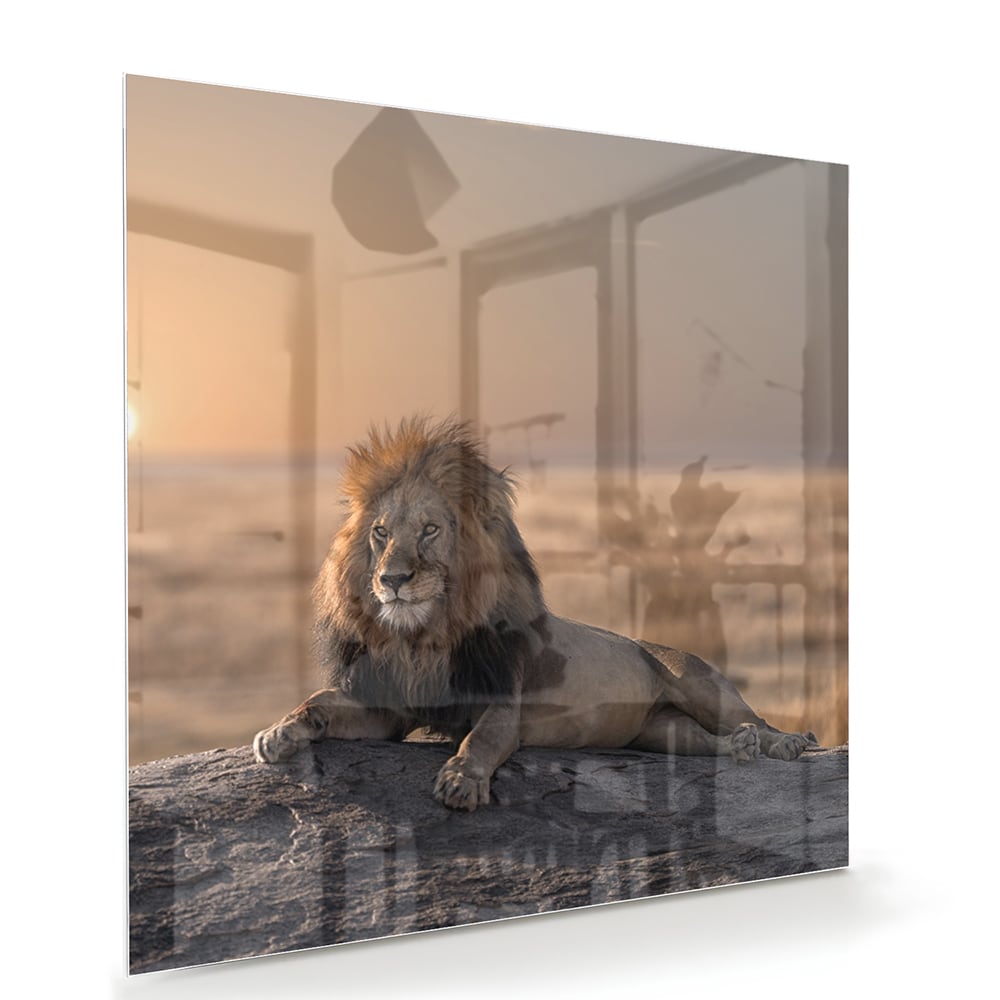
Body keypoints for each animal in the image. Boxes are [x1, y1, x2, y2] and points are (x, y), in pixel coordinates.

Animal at [253, 416, 816, 810]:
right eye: (381, 533)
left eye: (430, 530)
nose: (392, 580)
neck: (424, 637)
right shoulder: (390, 706)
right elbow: (318, 703)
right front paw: (277, 733)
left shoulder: (503, 703)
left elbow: (480, 739)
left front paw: (461, 781)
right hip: (660, 731)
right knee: (701, 741)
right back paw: (738, 749)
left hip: (699, 683)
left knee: (755, 718)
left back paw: (783, 743)